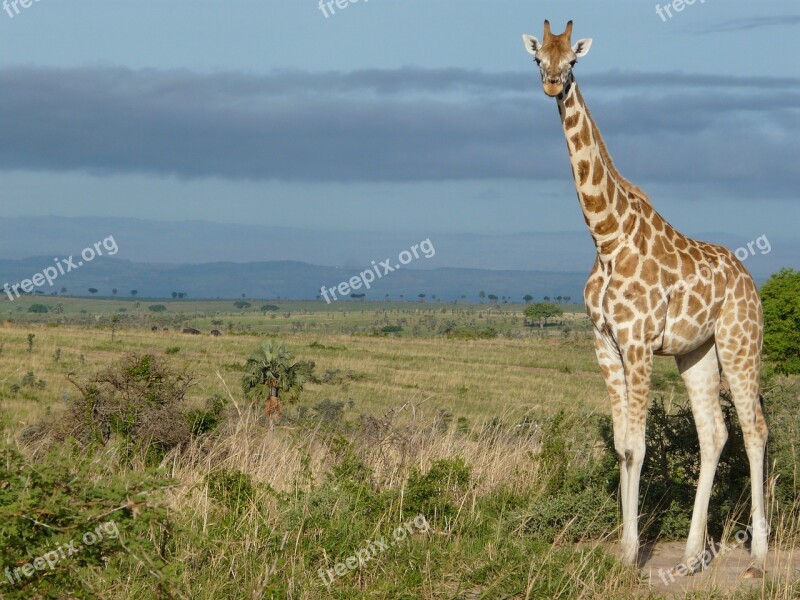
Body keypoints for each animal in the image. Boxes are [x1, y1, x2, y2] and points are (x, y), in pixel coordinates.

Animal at [520, 21, 772, 580]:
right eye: (538, 58)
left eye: (573, 60)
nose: (551, 83)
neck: (606, 236)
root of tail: (750, 280)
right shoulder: (604, 344)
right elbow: (621, 448)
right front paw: (624, 547)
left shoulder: (636, 343)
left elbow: (636, 450)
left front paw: (631, 554)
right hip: (695, 352)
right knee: (713, 433)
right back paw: (693, 554)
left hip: (740, 343)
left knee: (755, 429)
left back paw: (759, 552)